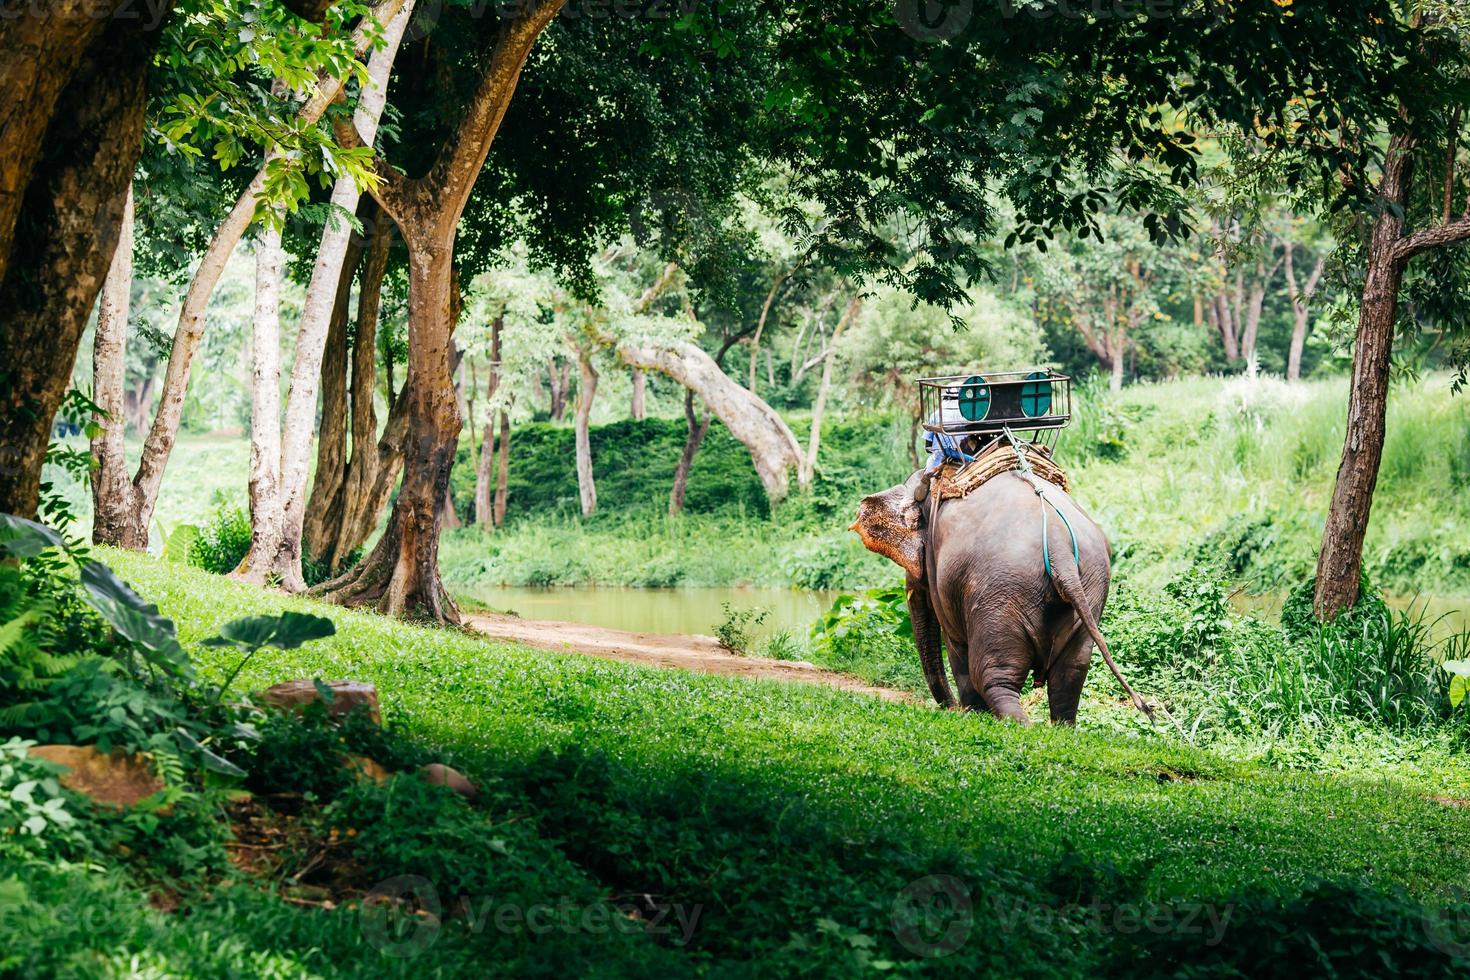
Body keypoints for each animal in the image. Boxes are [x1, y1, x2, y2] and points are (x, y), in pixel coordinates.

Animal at [852, 464, 1146, 725]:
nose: (949, 707)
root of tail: (1059, 546)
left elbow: (955, 644)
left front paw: (972, 714)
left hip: (999, 594)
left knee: (992, 674)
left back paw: (1017, 723)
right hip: (1090, 588)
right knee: (1070, 673)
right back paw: (1063, 729)